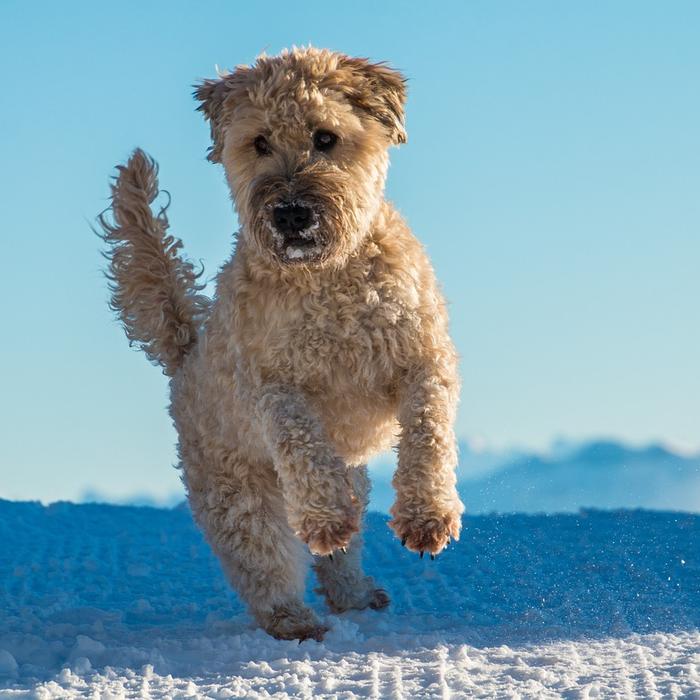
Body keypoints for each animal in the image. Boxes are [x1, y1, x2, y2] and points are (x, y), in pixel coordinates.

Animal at [98, 46, 462, 644]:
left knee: (341, 554)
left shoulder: (424, 359)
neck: (327, 279)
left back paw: (355, 591)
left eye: (325, 136)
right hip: (237, 489)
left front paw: (426, 517)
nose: (291, 213)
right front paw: (324, 519)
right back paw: (295, 616)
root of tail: (186, 355)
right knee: (264, 556)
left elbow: (428, 433)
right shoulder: (274, 386)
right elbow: (302, 443)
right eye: (259, 142)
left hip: (344, 472)